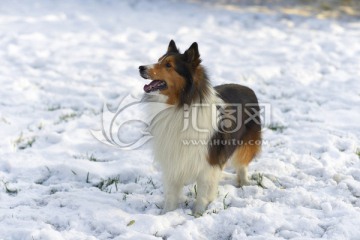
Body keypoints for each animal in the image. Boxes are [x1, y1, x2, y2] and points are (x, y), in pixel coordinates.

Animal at [139, 40, 262, 215]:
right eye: (159, 60)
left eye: (168, 65)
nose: (140, 68)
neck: (180, 105)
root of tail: (247, 88)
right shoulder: (172, 160)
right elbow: (171, 194)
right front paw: (166, 214)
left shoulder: (208, 162)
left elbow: (203, 193)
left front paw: (198, 214)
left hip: (246, 143)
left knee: (242, 166)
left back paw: (245, 183)